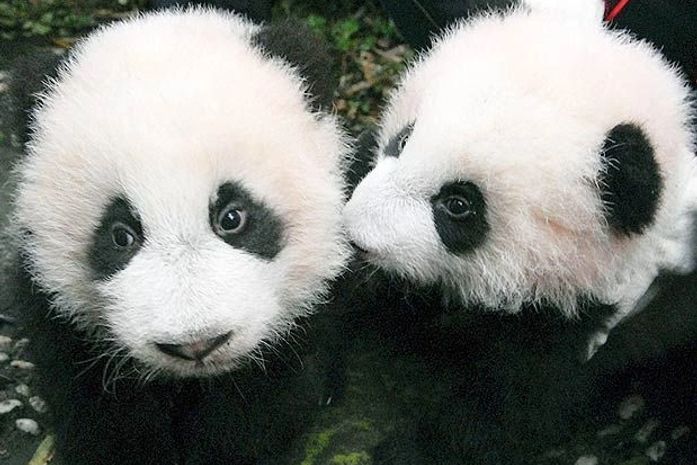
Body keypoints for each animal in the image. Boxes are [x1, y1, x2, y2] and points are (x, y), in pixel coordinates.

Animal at [6, 9, 350, 465]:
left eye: (232, 217)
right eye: (121, 235)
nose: (197, 344)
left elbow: (262, 403)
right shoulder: (59, 316)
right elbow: (99, 407)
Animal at [341, 0, 697, 463]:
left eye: (459, 204)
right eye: (403, 140)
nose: (356, 235)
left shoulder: (586, 304)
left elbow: (520, 402)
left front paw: (409, 450)